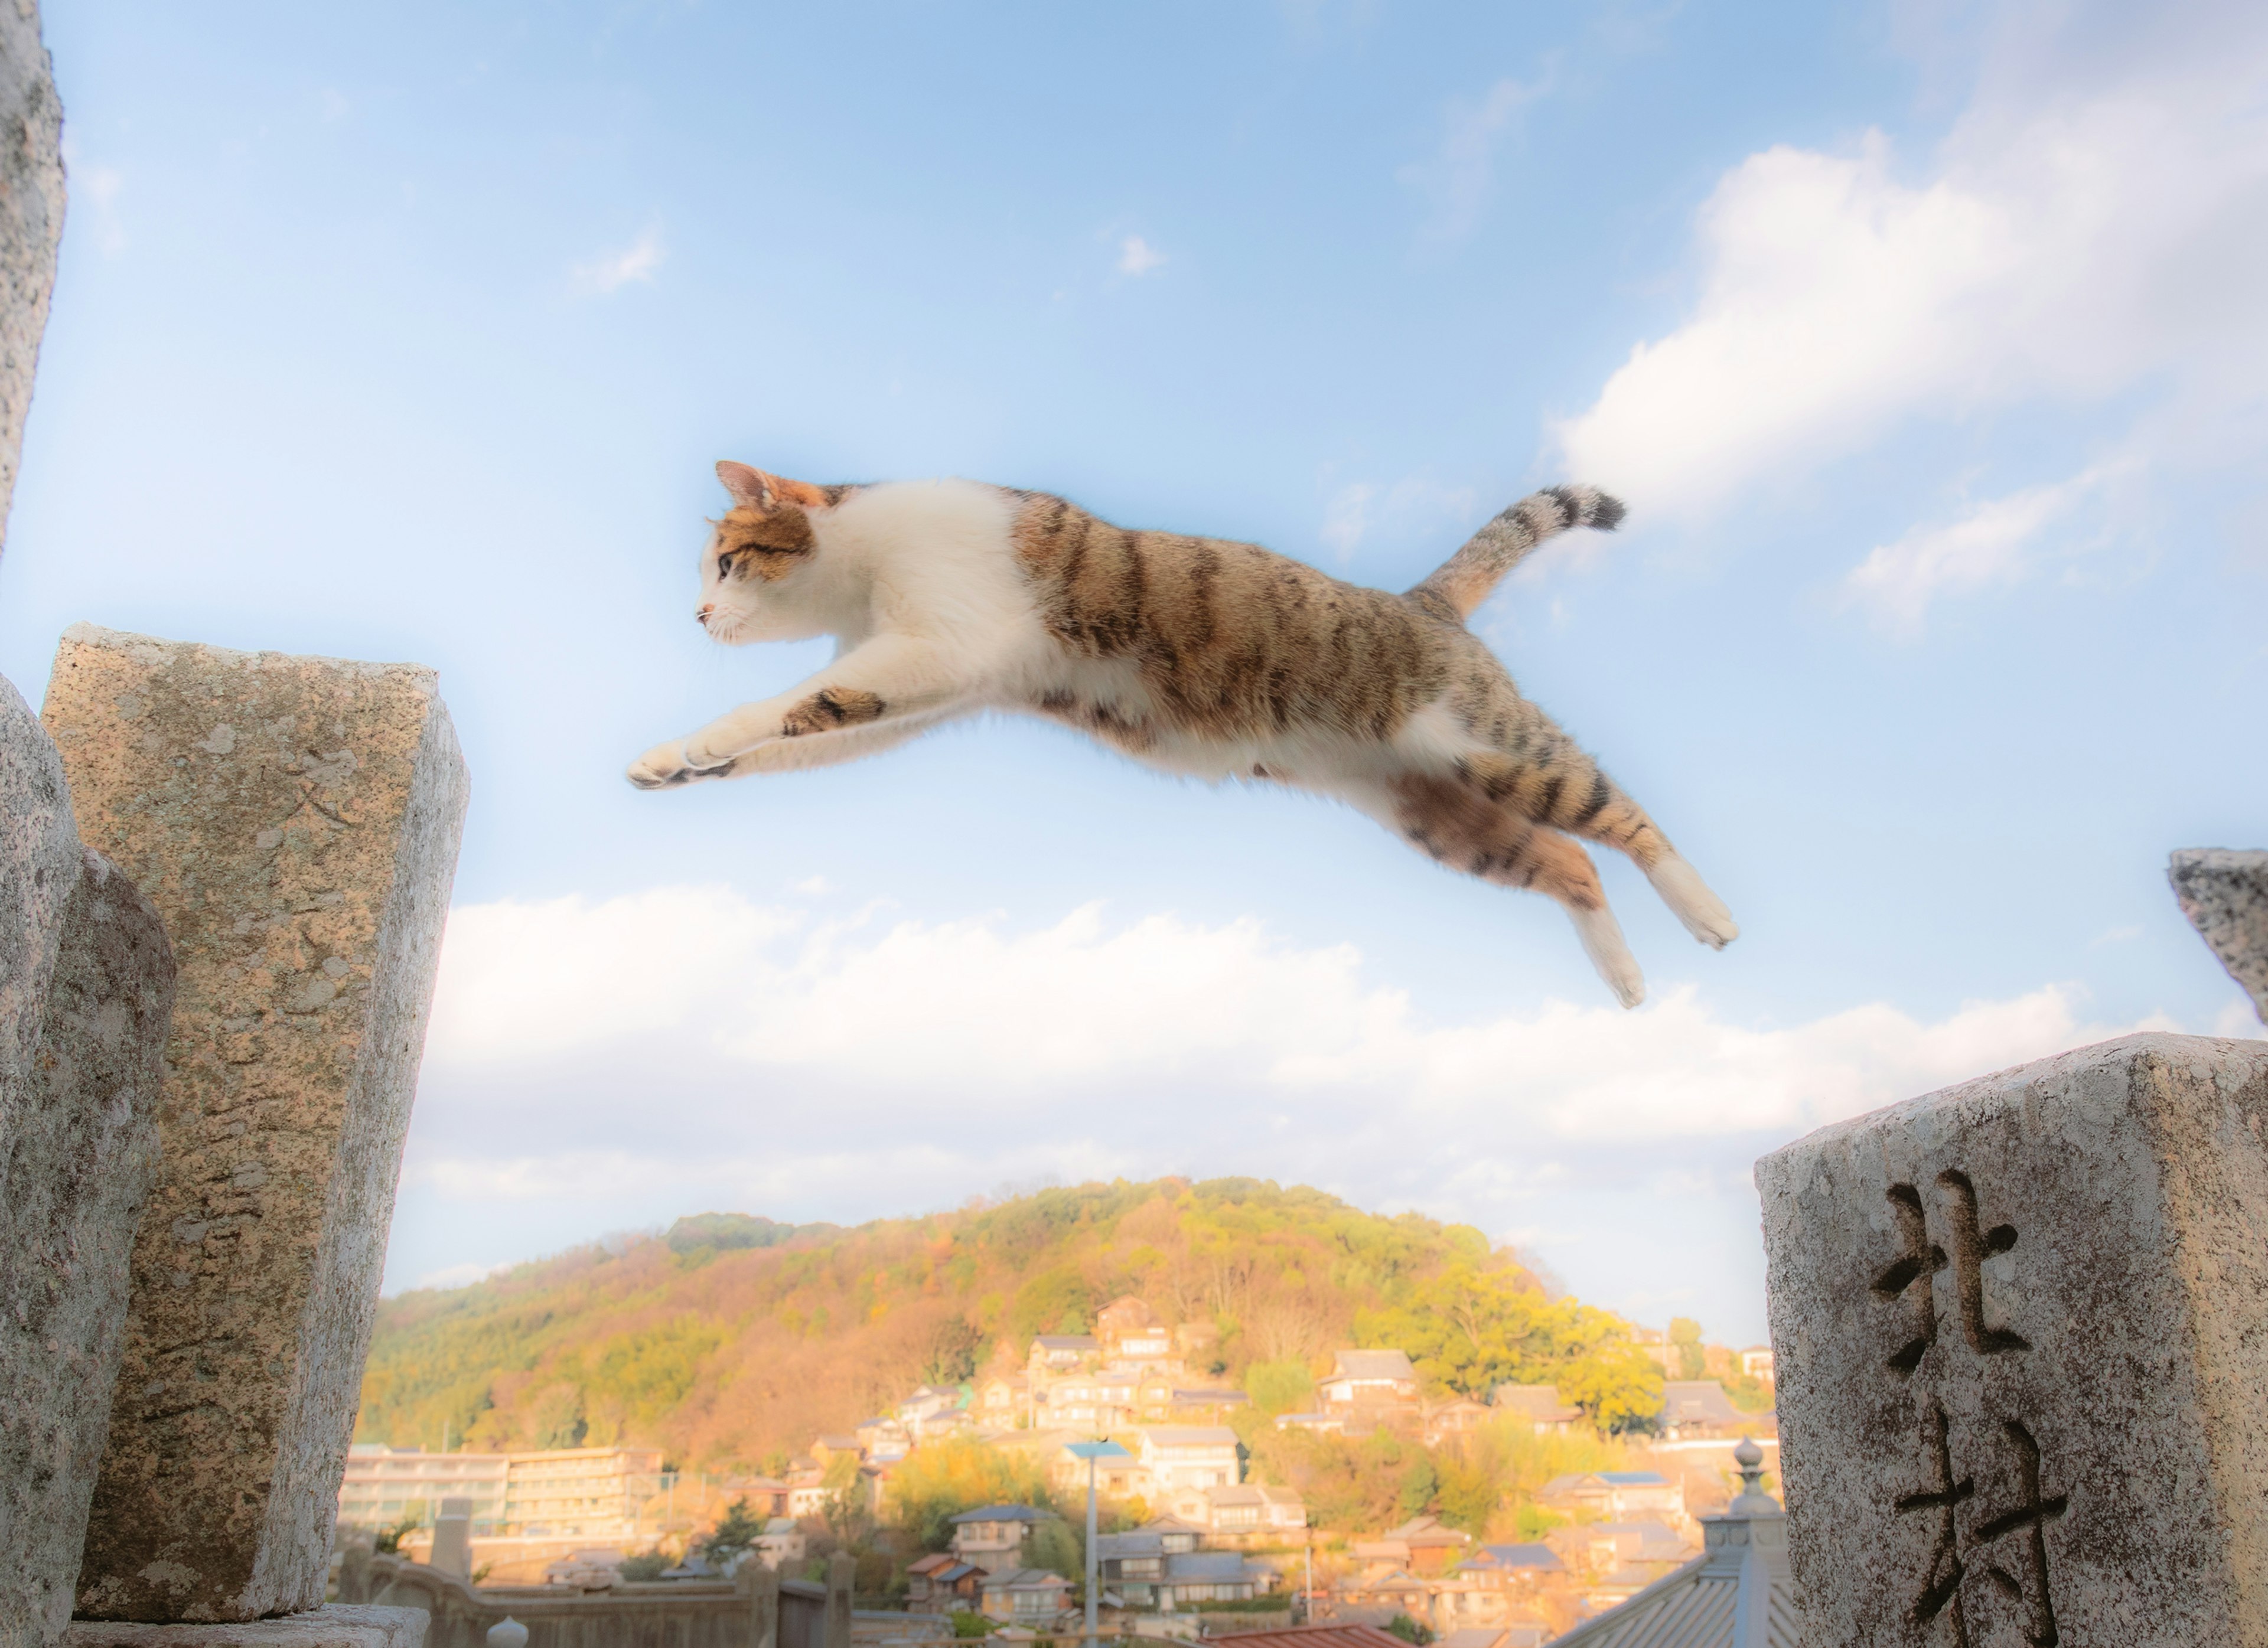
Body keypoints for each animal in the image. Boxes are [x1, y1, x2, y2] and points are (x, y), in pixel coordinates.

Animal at [630, 465, 1742, 1006]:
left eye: (725, 563)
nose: (695, 615)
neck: (861, 566)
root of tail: (1419, 601)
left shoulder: (940, 642)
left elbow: (788, 705)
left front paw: (707, 738)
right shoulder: (928, 685)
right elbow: (808, 733)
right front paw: (676, 762)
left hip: (1493, 747)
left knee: (1614, 814)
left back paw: (1706, 914)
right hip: (1436, 813)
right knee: (1568, 861)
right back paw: (1626, 979)